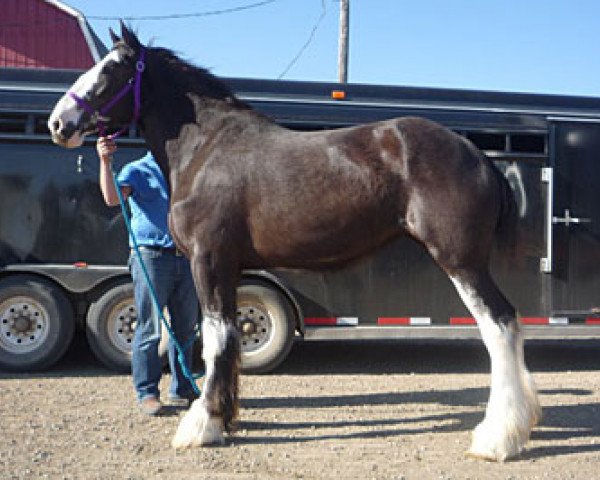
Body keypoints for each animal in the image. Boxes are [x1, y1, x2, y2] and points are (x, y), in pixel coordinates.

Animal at [49, 23, 540, 462]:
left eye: (112, 68)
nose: (58, 122)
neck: (206, 148)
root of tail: (475, 154)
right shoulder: (228, 267)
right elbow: (227, 337)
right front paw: (225, 418)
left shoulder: (209, 261)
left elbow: (214, 337)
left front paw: (203, 424)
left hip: (461, 262)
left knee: (499, 326)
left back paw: (497, 438)